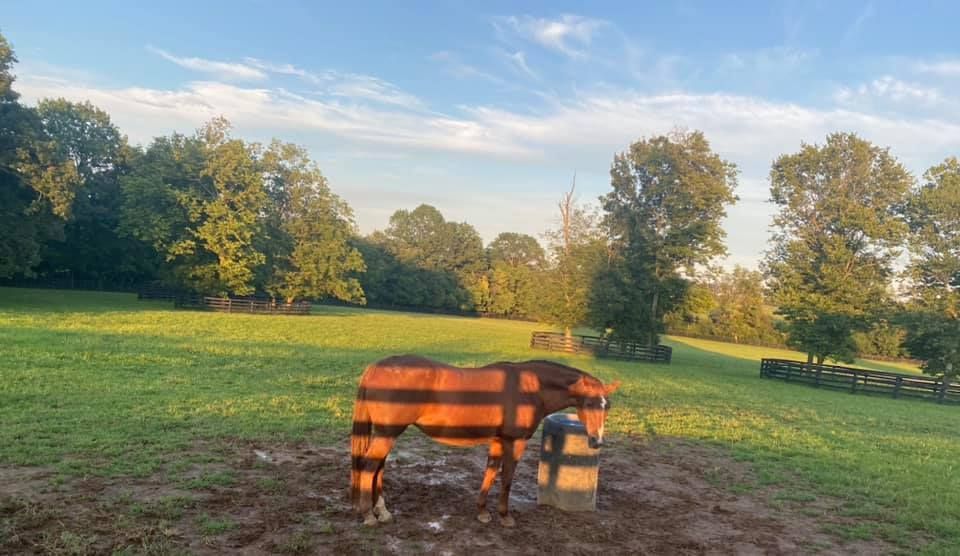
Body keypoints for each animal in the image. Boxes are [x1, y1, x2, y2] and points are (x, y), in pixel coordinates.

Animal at [349, 355, 621, 527]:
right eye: (588, 403)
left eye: (607, 406)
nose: (596, 441)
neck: (529, 387)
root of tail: (376, 367)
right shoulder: (515, 441)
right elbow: (507, 478)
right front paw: (505, 516)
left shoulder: (498, 440)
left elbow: (490, 473)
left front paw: (482, 512)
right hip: (388, 433)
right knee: (369, 466)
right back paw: (369, 515)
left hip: (387, 433)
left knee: (378, 468)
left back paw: (382, 511)